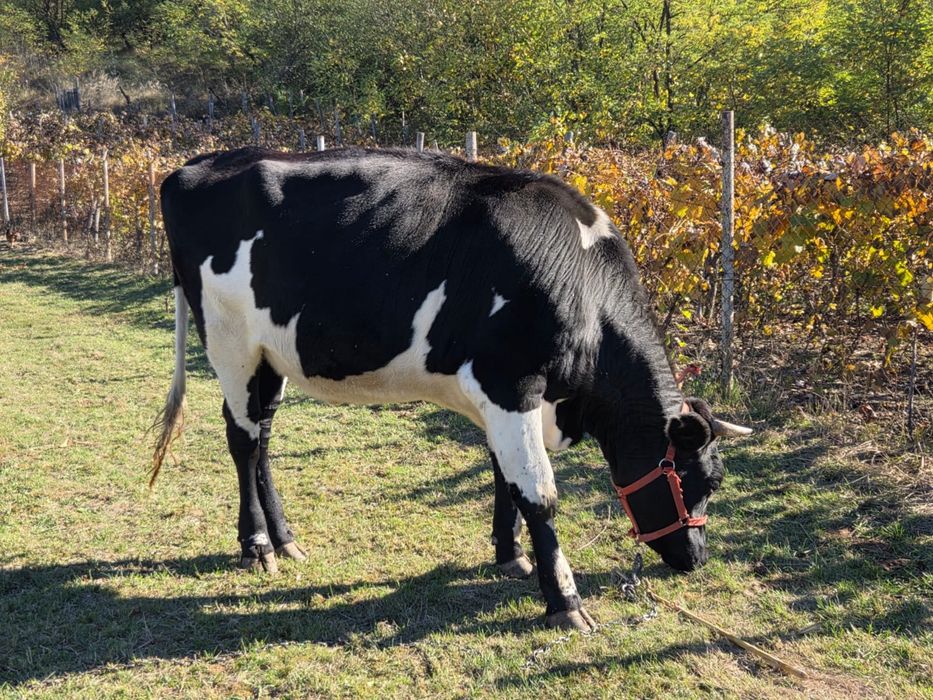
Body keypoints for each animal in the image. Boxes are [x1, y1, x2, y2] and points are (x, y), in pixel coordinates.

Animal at [152, 147, 751, 632]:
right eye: (703, 481)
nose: (695, 557)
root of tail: (194, 165)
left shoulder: (502, 398)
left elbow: (504, 478)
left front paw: (510, 555)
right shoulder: (511, 384)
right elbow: (539, 494)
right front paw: (566, 602)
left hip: (270, 356)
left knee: (264, 437)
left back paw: (284, 538)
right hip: (230, 342)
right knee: (243, 440)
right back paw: (256, 546)